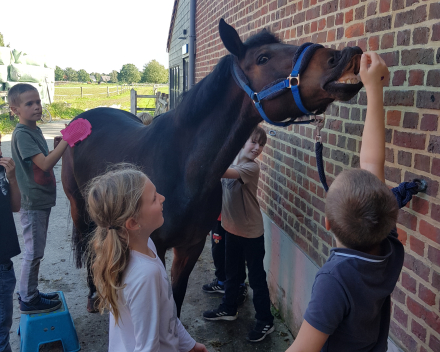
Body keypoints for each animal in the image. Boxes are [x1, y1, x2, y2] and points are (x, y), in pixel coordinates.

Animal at [62, 19, 362, 314]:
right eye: (263, 58)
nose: (345, 56)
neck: (183, 169)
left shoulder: (190, 247)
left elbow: (176, 299)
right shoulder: (153, 244)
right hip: (79, 207)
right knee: (87, 243)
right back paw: (93, 296)